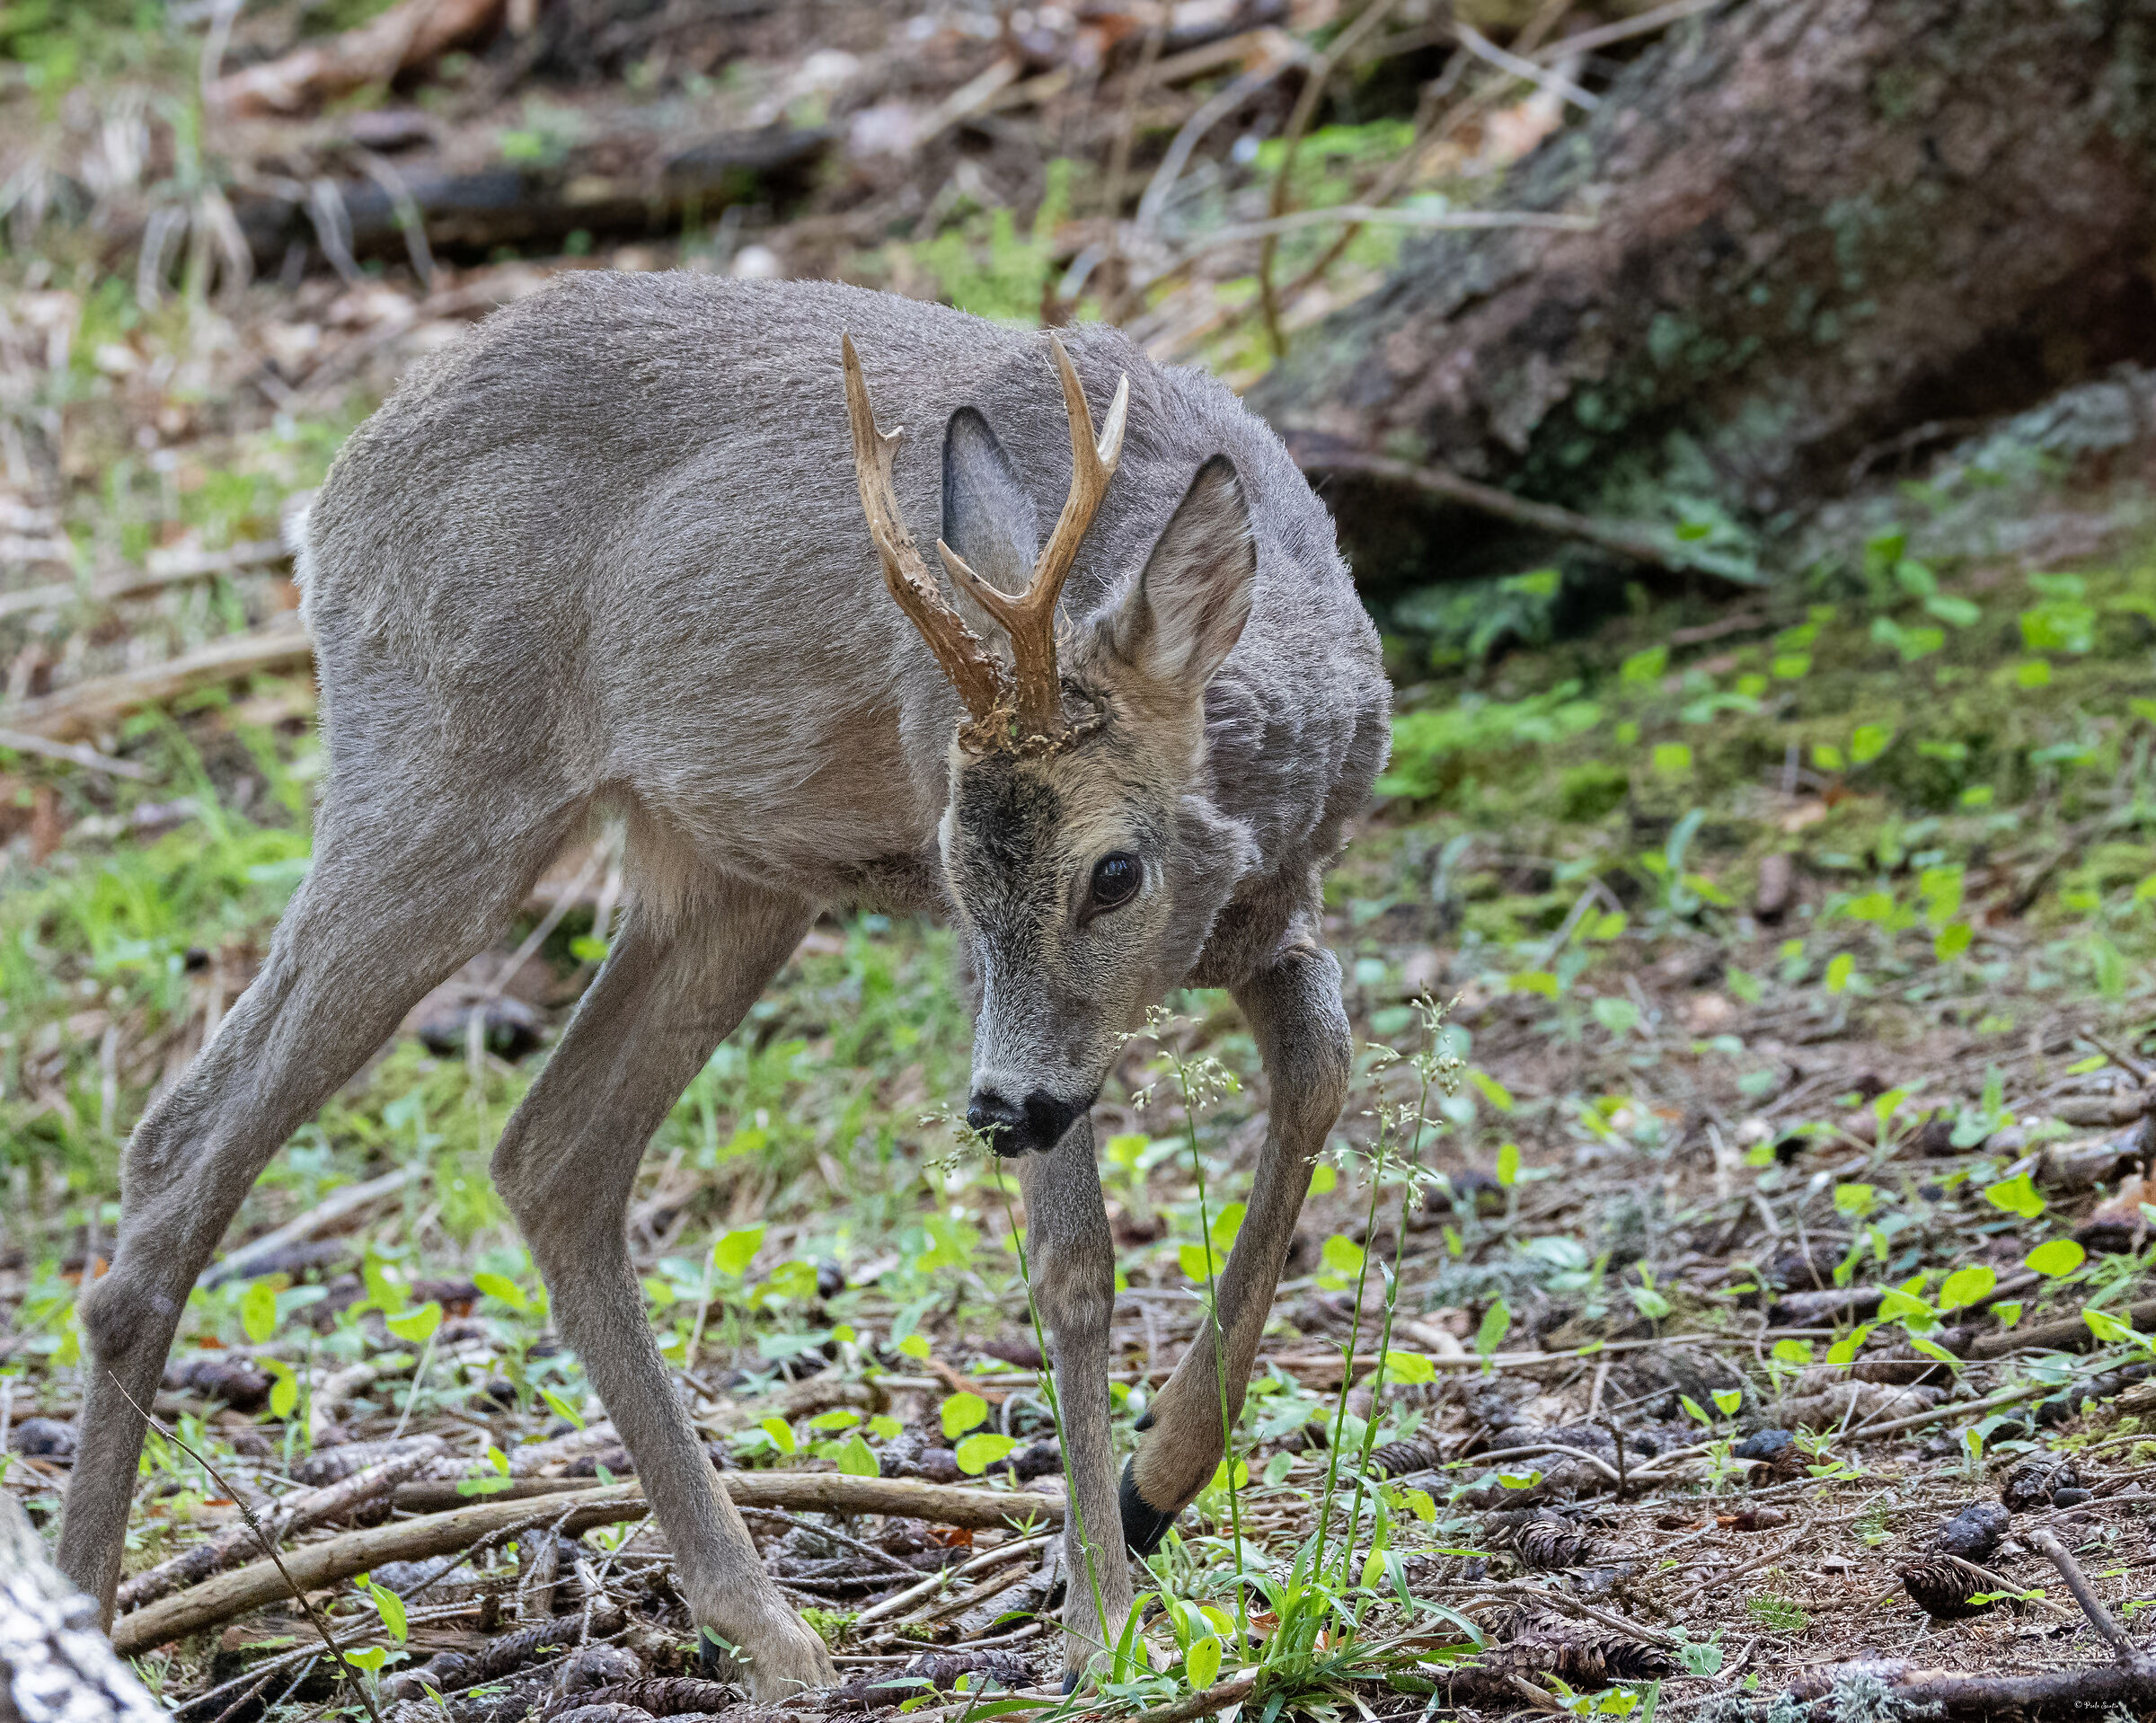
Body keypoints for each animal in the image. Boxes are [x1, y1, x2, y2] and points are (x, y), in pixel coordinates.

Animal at [55, 272, 1389, 1696]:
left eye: (1115, 873)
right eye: (956, 869)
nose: (998, 1110)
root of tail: (334, 497)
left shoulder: (1273, 911)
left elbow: (1322, 1069)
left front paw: (1156, 1484)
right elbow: (1074, 1258)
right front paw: (1100, 1619)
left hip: (724, 876)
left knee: (550, 1153)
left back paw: (769, 1625)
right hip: (443, 772)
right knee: (184, 1135)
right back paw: (85, 1615)